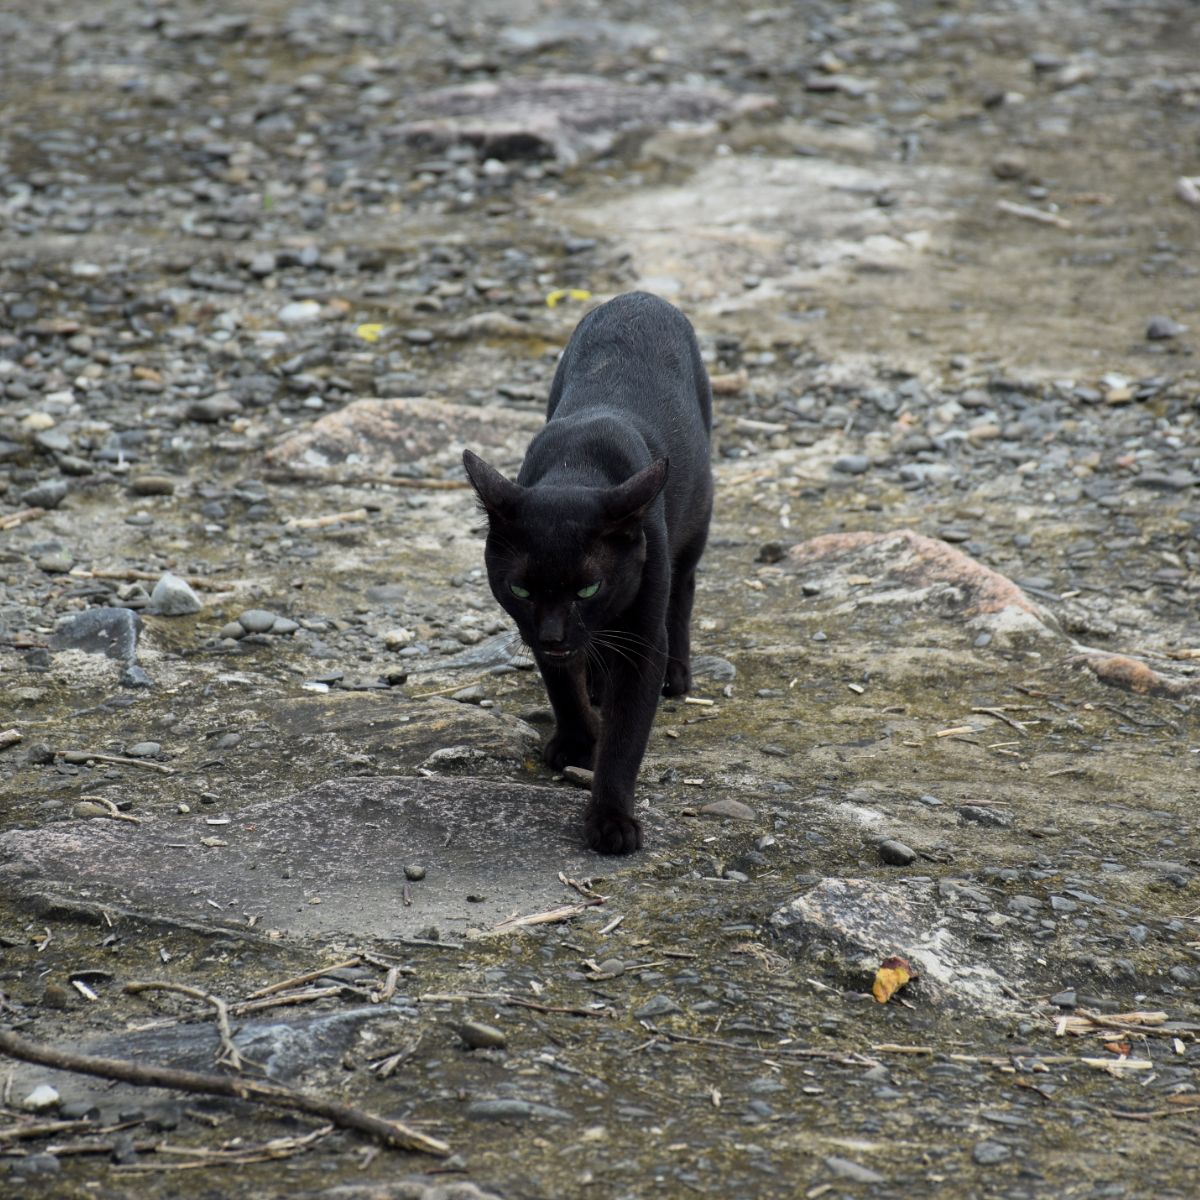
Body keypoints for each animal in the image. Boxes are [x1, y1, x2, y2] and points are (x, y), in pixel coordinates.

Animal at [463, 290, 710, 854]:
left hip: (696, 525)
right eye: (521, 589)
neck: (578, 465)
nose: (554, 633)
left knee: (683, 593)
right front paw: (578, 742)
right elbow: (562, 686)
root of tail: (641, 296)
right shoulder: (532, 630)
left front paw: (611, 820)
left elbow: (626, 736)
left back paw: (678, 674)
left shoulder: (642, 638)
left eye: (589, 588)